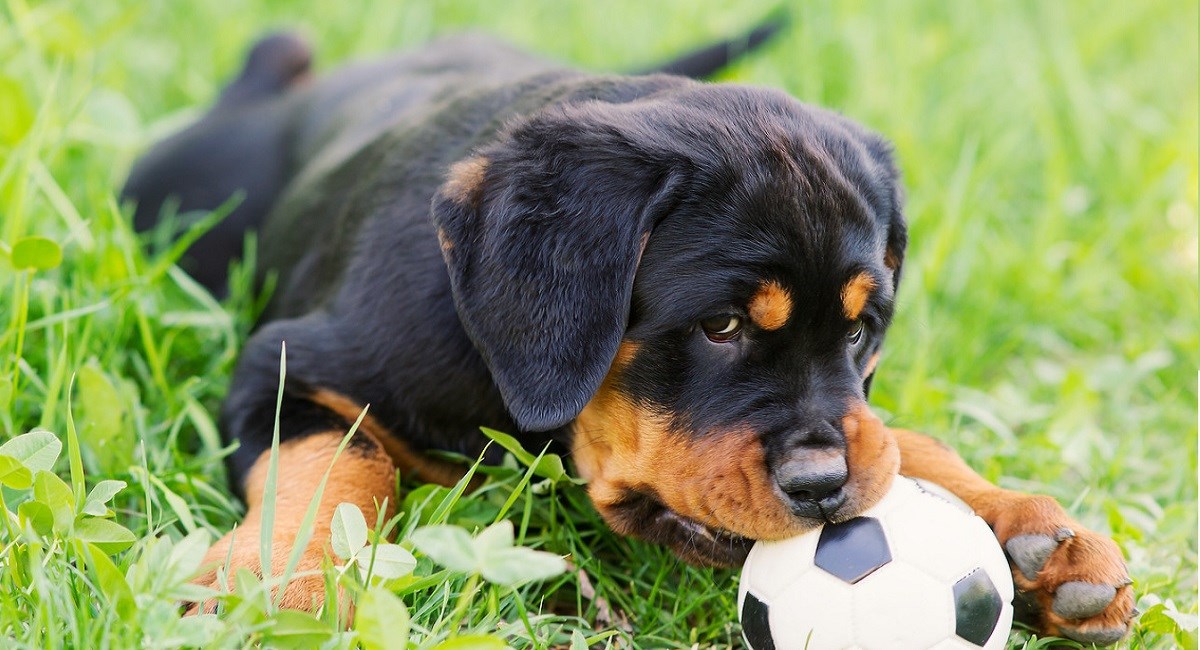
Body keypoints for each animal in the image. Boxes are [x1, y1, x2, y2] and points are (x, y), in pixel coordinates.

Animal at [126, 26, 1137, 647]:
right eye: (719, 326)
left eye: (862, 332)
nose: (824, 492)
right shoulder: (285, 364)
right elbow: (334, 459)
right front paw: (283, 587)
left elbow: (898, 439)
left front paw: (1037, 535)